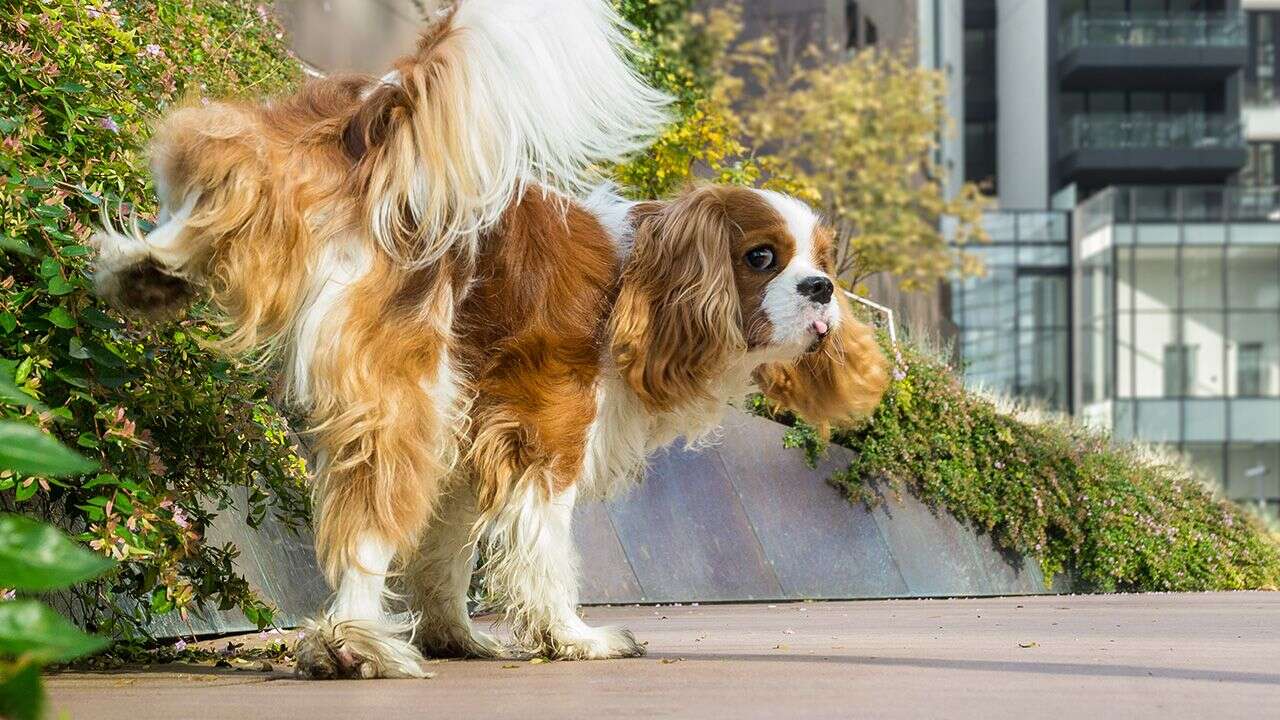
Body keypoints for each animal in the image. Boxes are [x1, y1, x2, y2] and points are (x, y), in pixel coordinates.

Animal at [92, 0, 890, 676]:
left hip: (287, 192)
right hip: (407, 389)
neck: (640, 282)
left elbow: (446, 551)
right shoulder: (549, 431)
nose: (821, 290)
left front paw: (454, 636)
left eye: (823, 260)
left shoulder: (474, 440)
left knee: (226, 173)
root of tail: (380, 123)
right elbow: (544, 550)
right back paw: (353, 643)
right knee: (370, 522)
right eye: (762, 258)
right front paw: (572, 638)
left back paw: (146, 270)